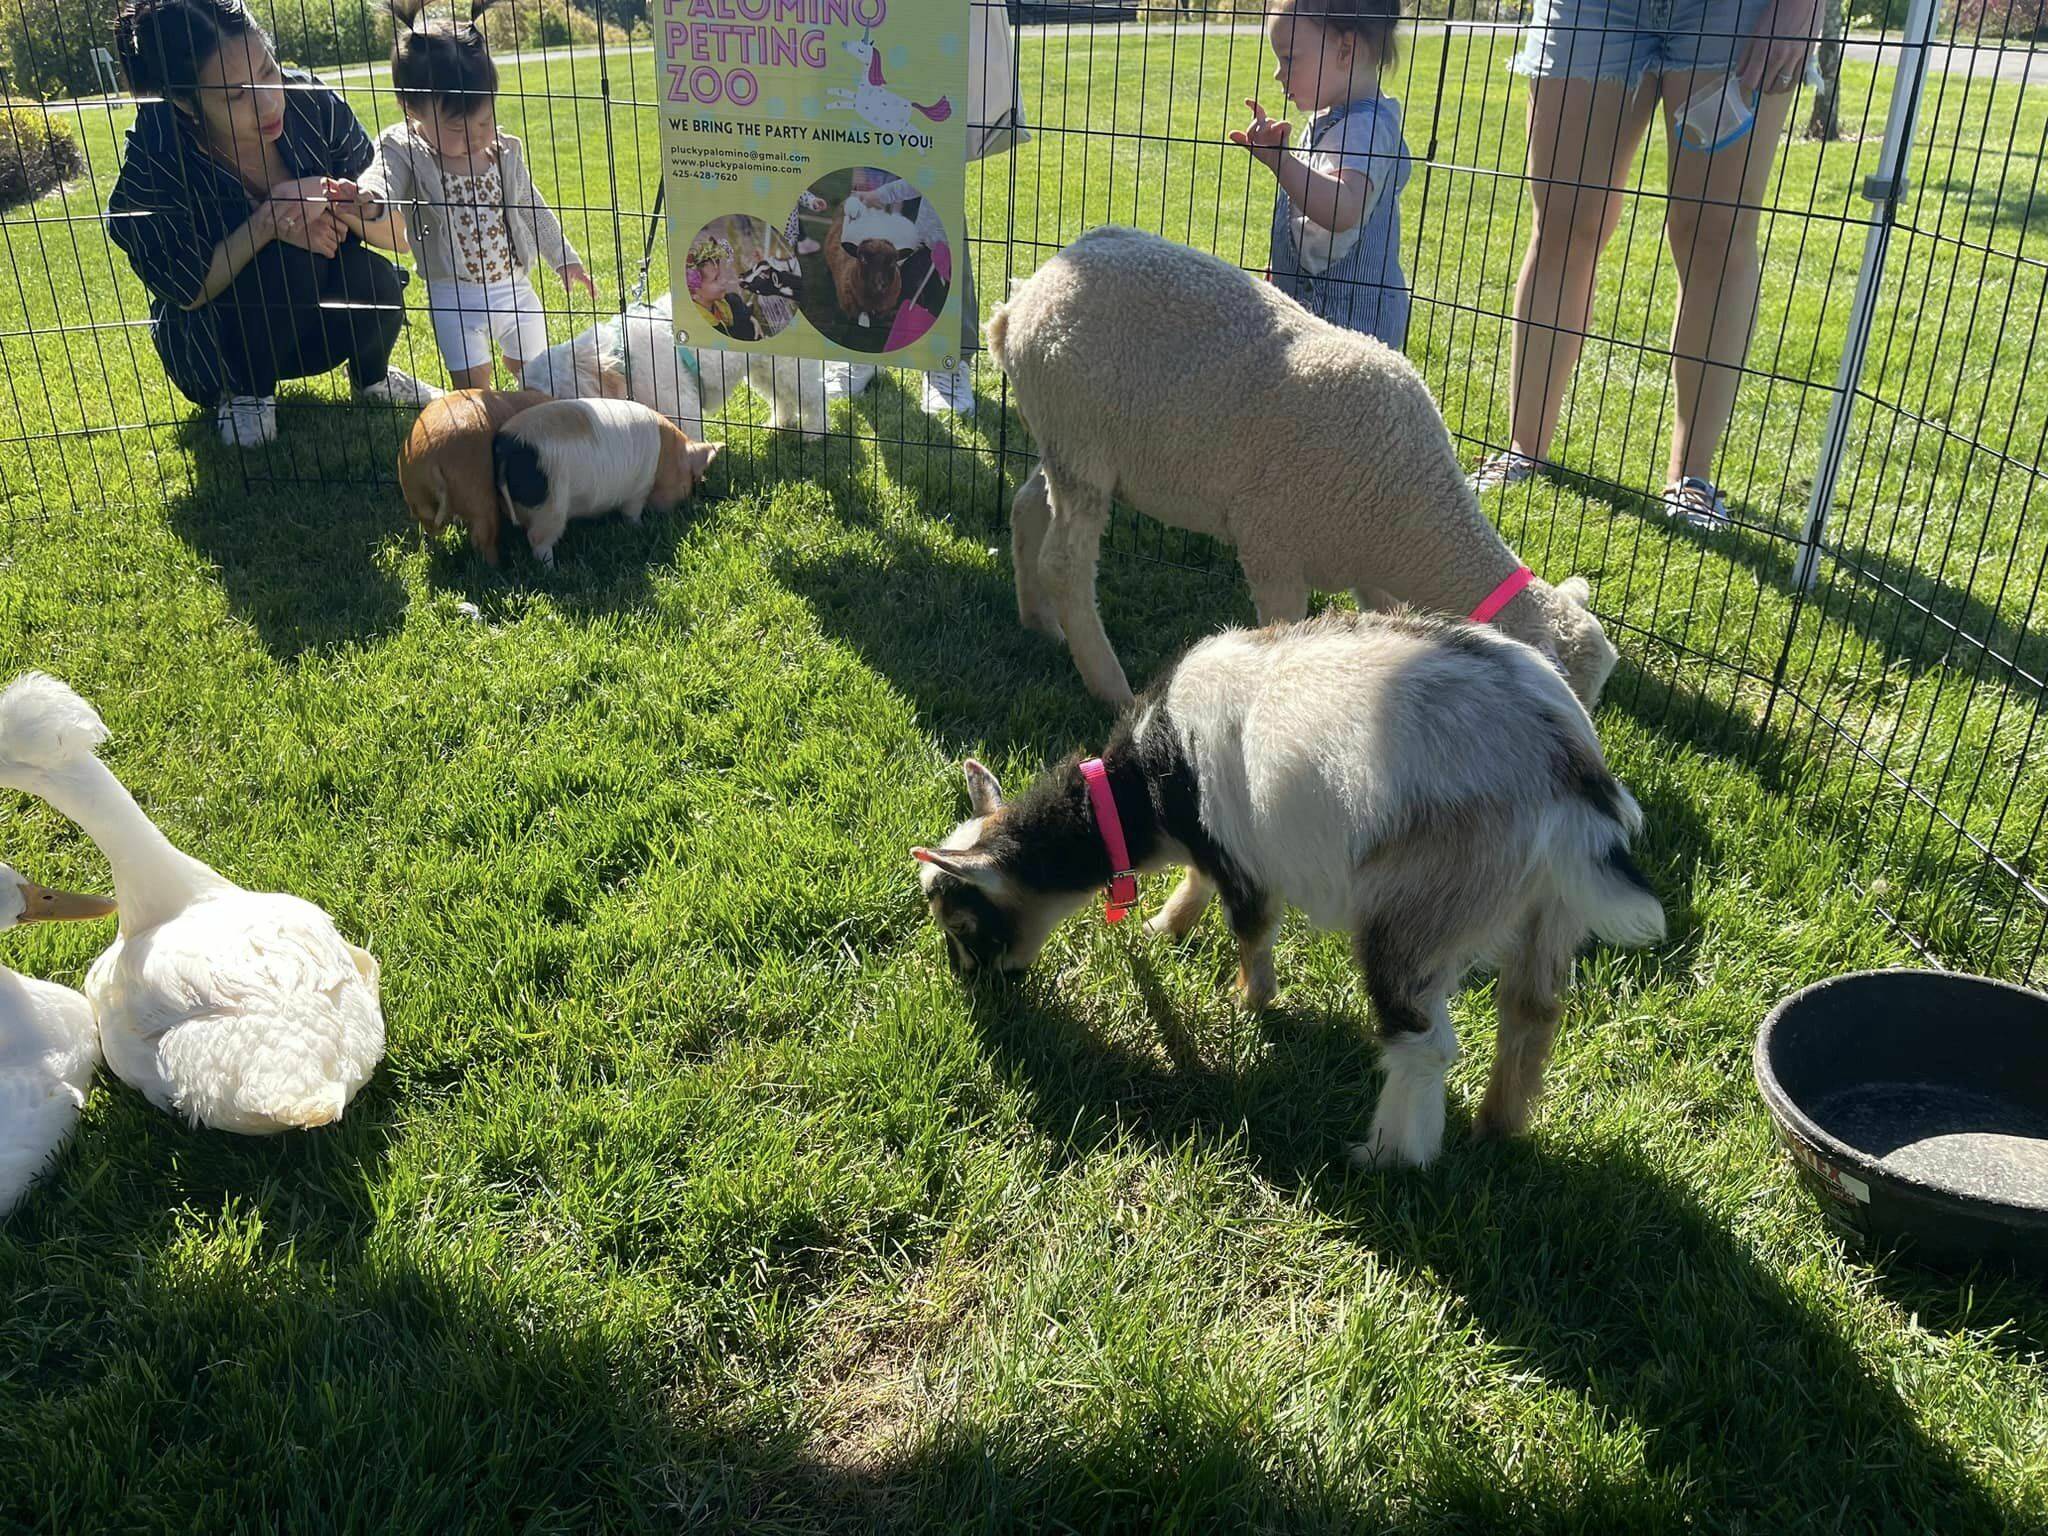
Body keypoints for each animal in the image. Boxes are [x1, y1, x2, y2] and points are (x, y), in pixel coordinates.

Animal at [913, 614, 1662, 1163]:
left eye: (961, 920)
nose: (972, 986)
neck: (1143, 787)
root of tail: (1568, 777)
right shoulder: (1212, 844)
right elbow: (1197, 883)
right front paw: (1165, 927)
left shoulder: (1243, 860)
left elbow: (1250, 930)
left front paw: (1248, 1002)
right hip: (1546, 911)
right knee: (1530, 1015)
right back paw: (1496, 1127)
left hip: (1421, 910)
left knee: (1423, 1040)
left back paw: (1391, 1155)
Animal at [983, 224, 1622, 708]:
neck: (1410, 511)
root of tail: (1022, 300)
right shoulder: (1272, 548)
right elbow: (1281, 633)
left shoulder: (1370, 572)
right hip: (1081, 436)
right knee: (1066, 563)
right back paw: (1111, 686)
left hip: (1065, 437)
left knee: (1027, 507)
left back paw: (1039, 622)